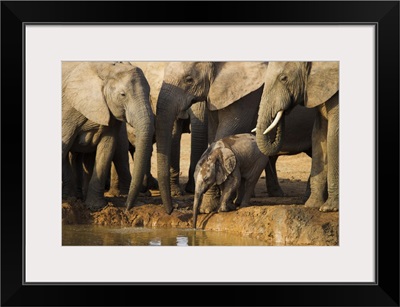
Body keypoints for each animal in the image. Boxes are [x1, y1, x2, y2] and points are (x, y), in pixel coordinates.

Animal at [62, 61, 155, 211]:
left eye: (148, 93)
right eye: (122, 95)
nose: (127, 208)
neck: (104, 69)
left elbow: (107, 148)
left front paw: (96, 207)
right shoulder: (69, 108)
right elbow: (63, 143)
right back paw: (70, 198)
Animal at [155, 61, 314, 215]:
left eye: (189, 79)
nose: (172, 210)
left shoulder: (247, 94)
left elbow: (227, 131)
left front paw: (208, 209)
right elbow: (213, 134)